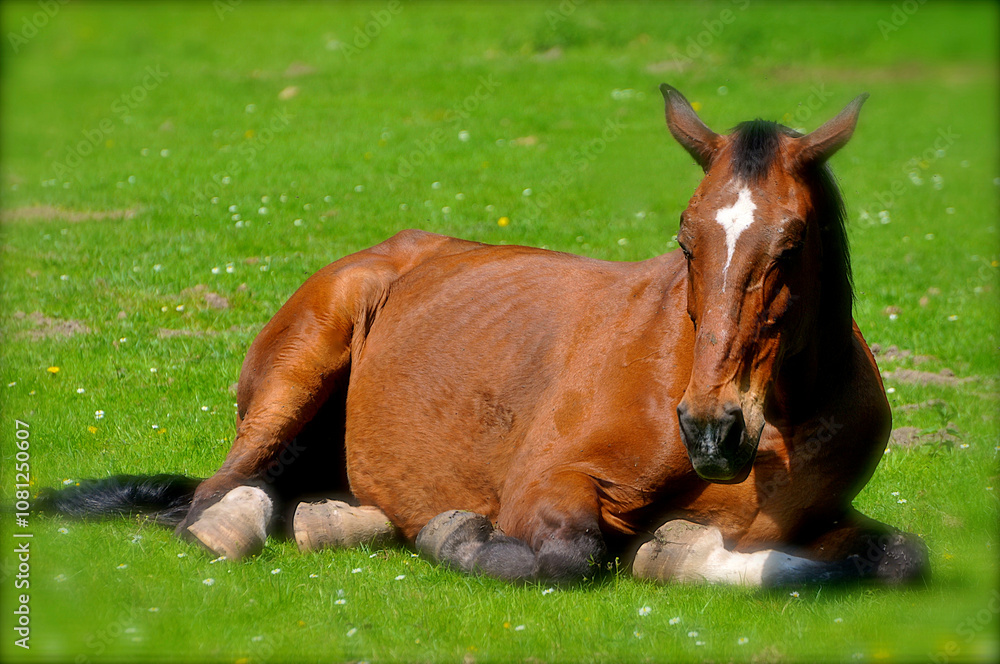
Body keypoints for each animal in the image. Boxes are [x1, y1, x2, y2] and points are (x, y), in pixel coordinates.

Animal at [45, 84, 928, 587]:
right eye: (686, 240)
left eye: (791, 244)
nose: (712, 428)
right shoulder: (545, 486)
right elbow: (566, 556)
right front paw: (458, 537)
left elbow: (892, 561)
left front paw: (674, 550)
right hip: (302, 367)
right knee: (212, 497)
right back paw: (241, 528)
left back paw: (338, 521)